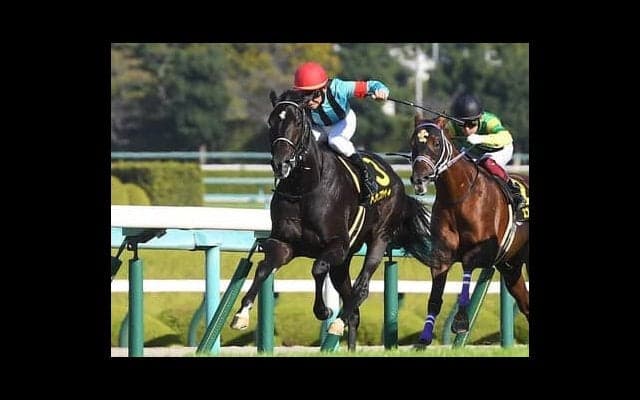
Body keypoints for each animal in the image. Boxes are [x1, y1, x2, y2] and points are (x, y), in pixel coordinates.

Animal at [229, 89, 433, 351]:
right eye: (271, 121)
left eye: (297, 122)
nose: (280, 163)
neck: (304, 188)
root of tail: (398, 181)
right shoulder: (285, 244)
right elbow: (264, 268)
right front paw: (242, 313)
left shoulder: (336, 245)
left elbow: (317, 269)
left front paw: (323, 310)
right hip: (343, 263)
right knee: (353, 307)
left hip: (379, 238)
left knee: (361, 288)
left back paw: (338, 321)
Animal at [409, 115, 529, 346]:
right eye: (413, 144)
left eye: (436, 143)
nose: (420, 179)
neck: (459, 197)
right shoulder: (441, 255)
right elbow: (434, 298)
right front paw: (425, 336)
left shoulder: (484, 251)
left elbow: (466, 269)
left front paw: (461, 321)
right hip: (512, 268)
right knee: (526, 304)